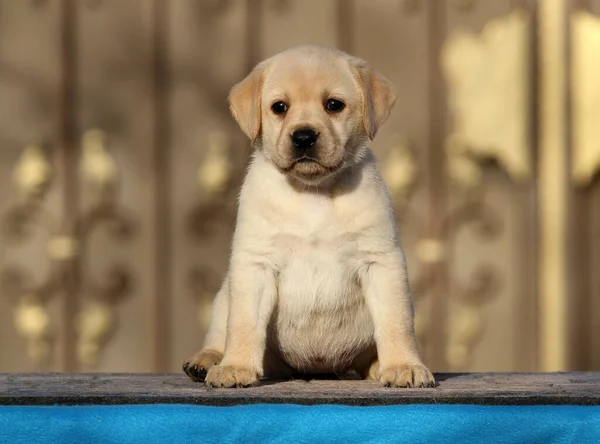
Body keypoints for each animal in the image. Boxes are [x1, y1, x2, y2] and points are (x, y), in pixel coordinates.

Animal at [183, 43, 436, 386]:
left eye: (333, 105)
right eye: (279, 107)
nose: (303, 137)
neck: (313, 192)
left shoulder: (381, 261)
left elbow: (396, 322)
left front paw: (403, 365)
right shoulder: (255, 264)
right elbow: (244, 324)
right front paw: (236, 366)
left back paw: (377, 366)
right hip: (224, 296)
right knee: (219, 334)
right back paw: (208, 360)